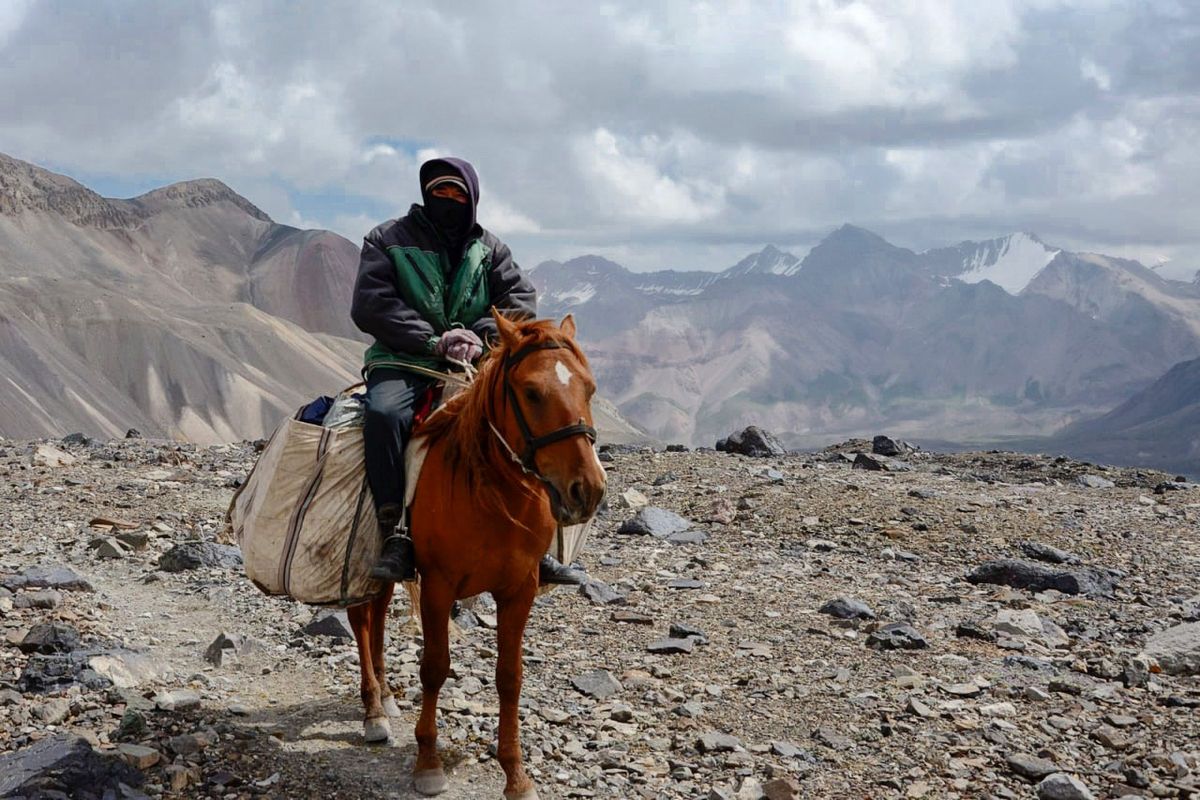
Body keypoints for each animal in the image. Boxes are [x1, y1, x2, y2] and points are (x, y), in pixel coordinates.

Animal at [348, 311, 609, 800]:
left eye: (589, 388)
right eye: (531, 392)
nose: (587, 490)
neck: (491, 493)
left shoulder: (519, 589)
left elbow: (510, 677)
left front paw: (516, 775)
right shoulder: (438, 585)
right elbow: (434, 668)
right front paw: (428, 763)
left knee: (377, 618)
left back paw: (386, 698)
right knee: (361, 620)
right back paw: (373, 710)